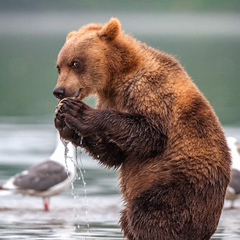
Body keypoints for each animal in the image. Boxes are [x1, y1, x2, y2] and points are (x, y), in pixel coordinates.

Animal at [52, 17, 231, 239]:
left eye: (75, 63)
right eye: (59, 66)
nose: (59, 91)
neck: (116, 77)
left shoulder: (149, 90)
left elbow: (149, 135)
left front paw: (78, 112)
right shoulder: (110, 98)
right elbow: (115, 152)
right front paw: (65, 123)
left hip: (178, 187)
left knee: (150, 217)